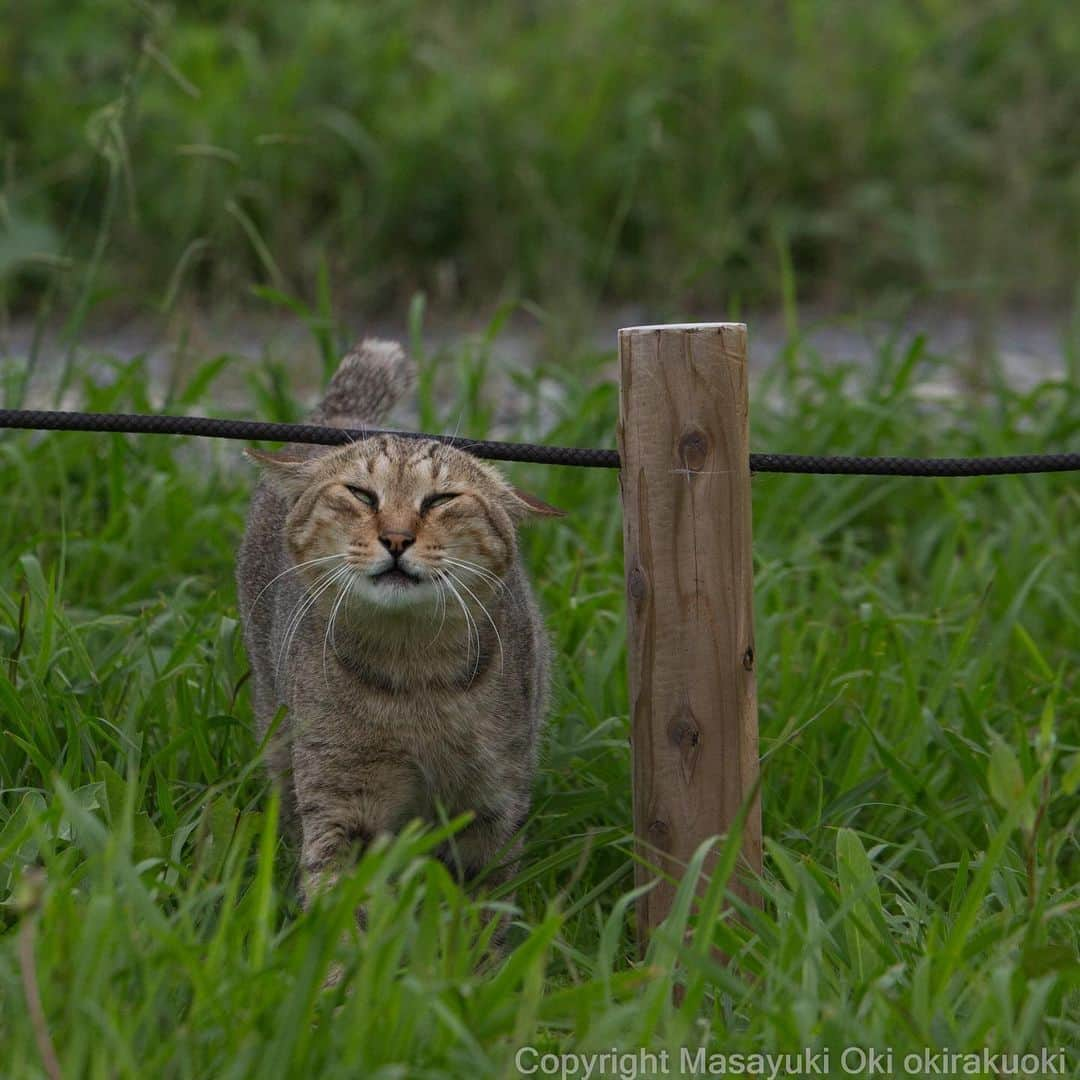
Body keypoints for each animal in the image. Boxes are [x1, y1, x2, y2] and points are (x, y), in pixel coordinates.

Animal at [234, 339, 557, 911]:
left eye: (441, 499)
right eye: (362, 494)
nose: (397, 538)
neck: (414, 678)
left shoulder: (493, 802)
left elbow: (482, 909)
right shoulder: (342, 799)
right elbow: (338, 901)